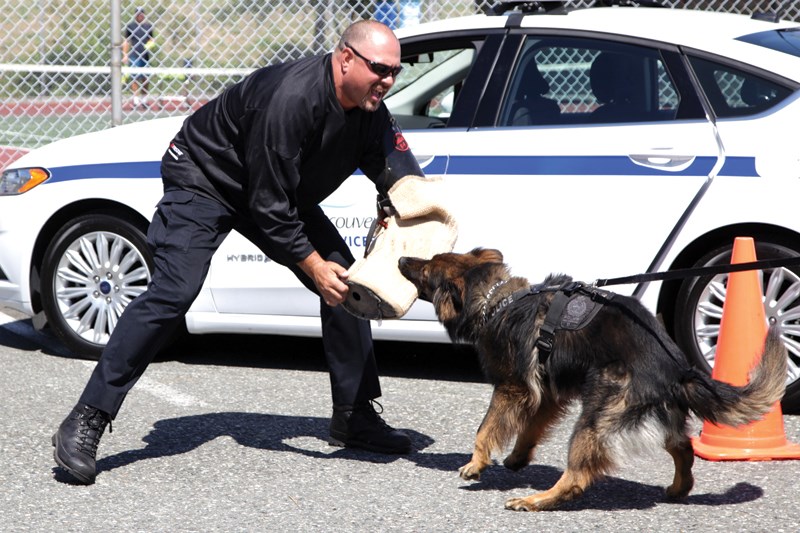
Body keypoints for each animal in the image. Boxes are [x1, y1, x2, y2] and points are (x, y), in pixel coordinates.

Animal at [396, 249, 784, 512]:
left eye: (426, 268)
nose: (401, 258)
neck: (499, 300)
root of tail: (679, 369)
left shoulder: (512, 388)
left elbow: (485, 428)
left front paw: (476, 464)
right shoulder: (547, 394)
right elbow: (531, 427)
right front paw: (518, 458)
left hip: (597, 415)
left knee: (578, 477)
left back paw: (537, 500)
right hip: (650, 417)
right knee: (683, 448)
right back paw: (679, 488)